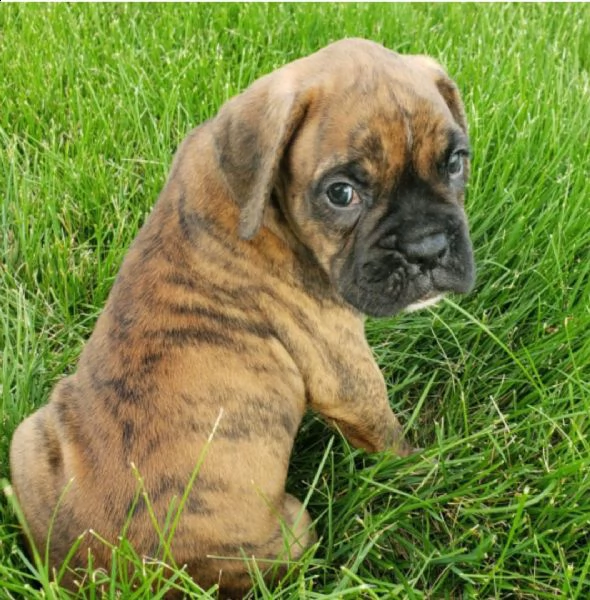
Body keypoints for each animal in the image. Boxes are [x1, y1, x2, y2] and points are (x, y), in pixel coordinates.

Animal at [9, 39, 476, 596]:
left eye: (455, 162)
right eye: (341, 193)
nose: (428, 248)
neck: (262, 199)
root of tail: (116, 574)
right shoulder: (343, 369)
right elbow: (389, 435)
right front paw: (428, 470)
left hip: (26, 440)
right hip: (293, 529)